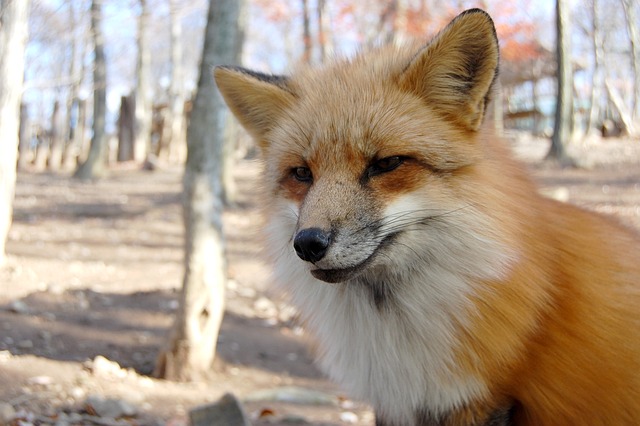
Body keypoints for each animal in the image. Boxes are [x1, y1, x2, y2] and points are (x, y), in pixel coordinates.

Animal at [215, 9, 640, 426]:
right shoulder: (395, 402)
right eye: (302, 173)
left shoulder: (477, 401)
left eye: (386, 164)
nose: (307, 244)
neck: (392, 329)